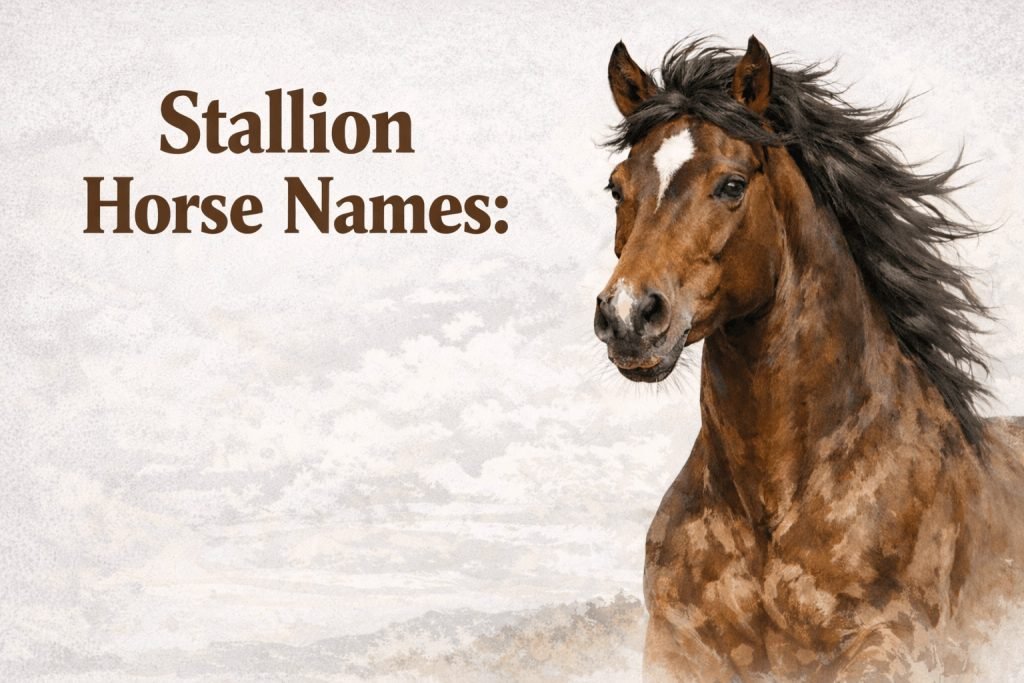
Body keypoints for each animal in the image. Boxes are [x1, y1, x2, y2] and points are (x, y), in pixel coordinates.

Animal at [592, 36, 1024, 681]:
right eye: (616, 187)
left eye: (731, 185)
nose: (627, 317)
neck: (770, 512)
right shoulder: (675, 646)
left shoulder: (889, 645)